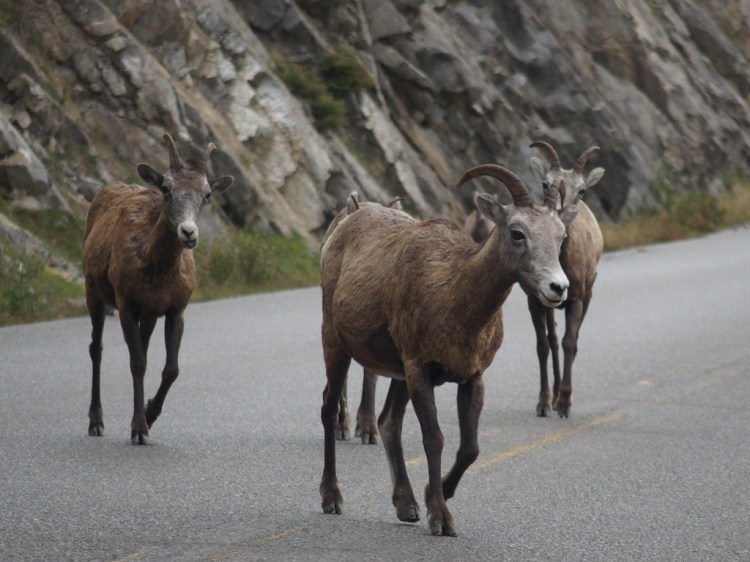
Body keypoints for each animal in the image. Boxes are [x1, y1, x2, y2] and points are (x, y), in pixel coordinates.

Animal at [82, 133, 233, 444]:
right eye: (166, 188)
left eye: (207, 194)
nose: (188, 233)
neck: (159, 271)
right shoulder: (126, 305)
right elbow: (137, 363)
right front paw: (139, 429)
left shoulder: (175, 310)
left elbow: (170, 369)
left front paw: (149, 415)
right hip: (94, 294)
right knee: (96, 348)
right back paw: (96, 422)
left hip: (148, 315)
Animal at [319, 165, 578, 536]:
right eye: (517, 233)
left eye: (560, 237)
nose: (558, 287)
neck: (452, 294)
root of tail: (345, 223)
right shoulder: (420, 370)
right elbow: (435, 440)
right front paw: (441, 519)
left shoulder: (471, 378)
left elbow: (470, 448)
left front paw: (432, 495)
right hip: (336, 345)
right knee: (329, 409)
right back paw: (332, 498)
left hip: (397, 373)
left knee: (388, 423)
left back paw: (407, 506)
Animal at [527, 140, 604, 418]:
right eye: (545, 184)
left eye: (581, 191)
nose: (560, 213)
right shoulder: (535, 302)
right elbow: (543, 346)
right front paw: (543, 404)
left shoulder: (577, 300)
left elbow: (570, 342)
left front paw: (565, 404)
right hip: (551, 304)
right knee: (552, 341)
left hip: (588, 295)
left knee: (571, 340)